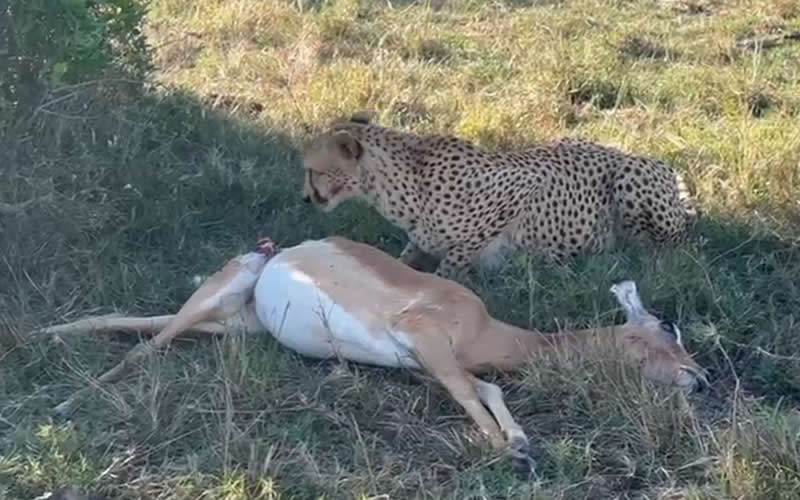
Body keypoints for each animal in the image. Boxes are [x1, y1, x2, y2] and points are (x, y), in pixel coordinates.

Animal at [300, 112, 699, 280]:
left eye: (312, 170)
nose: (304, 198)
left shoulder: (522, 187)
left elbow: (455, 258)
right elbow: (409, 253)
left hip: (629, 179)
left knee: (670, 247)